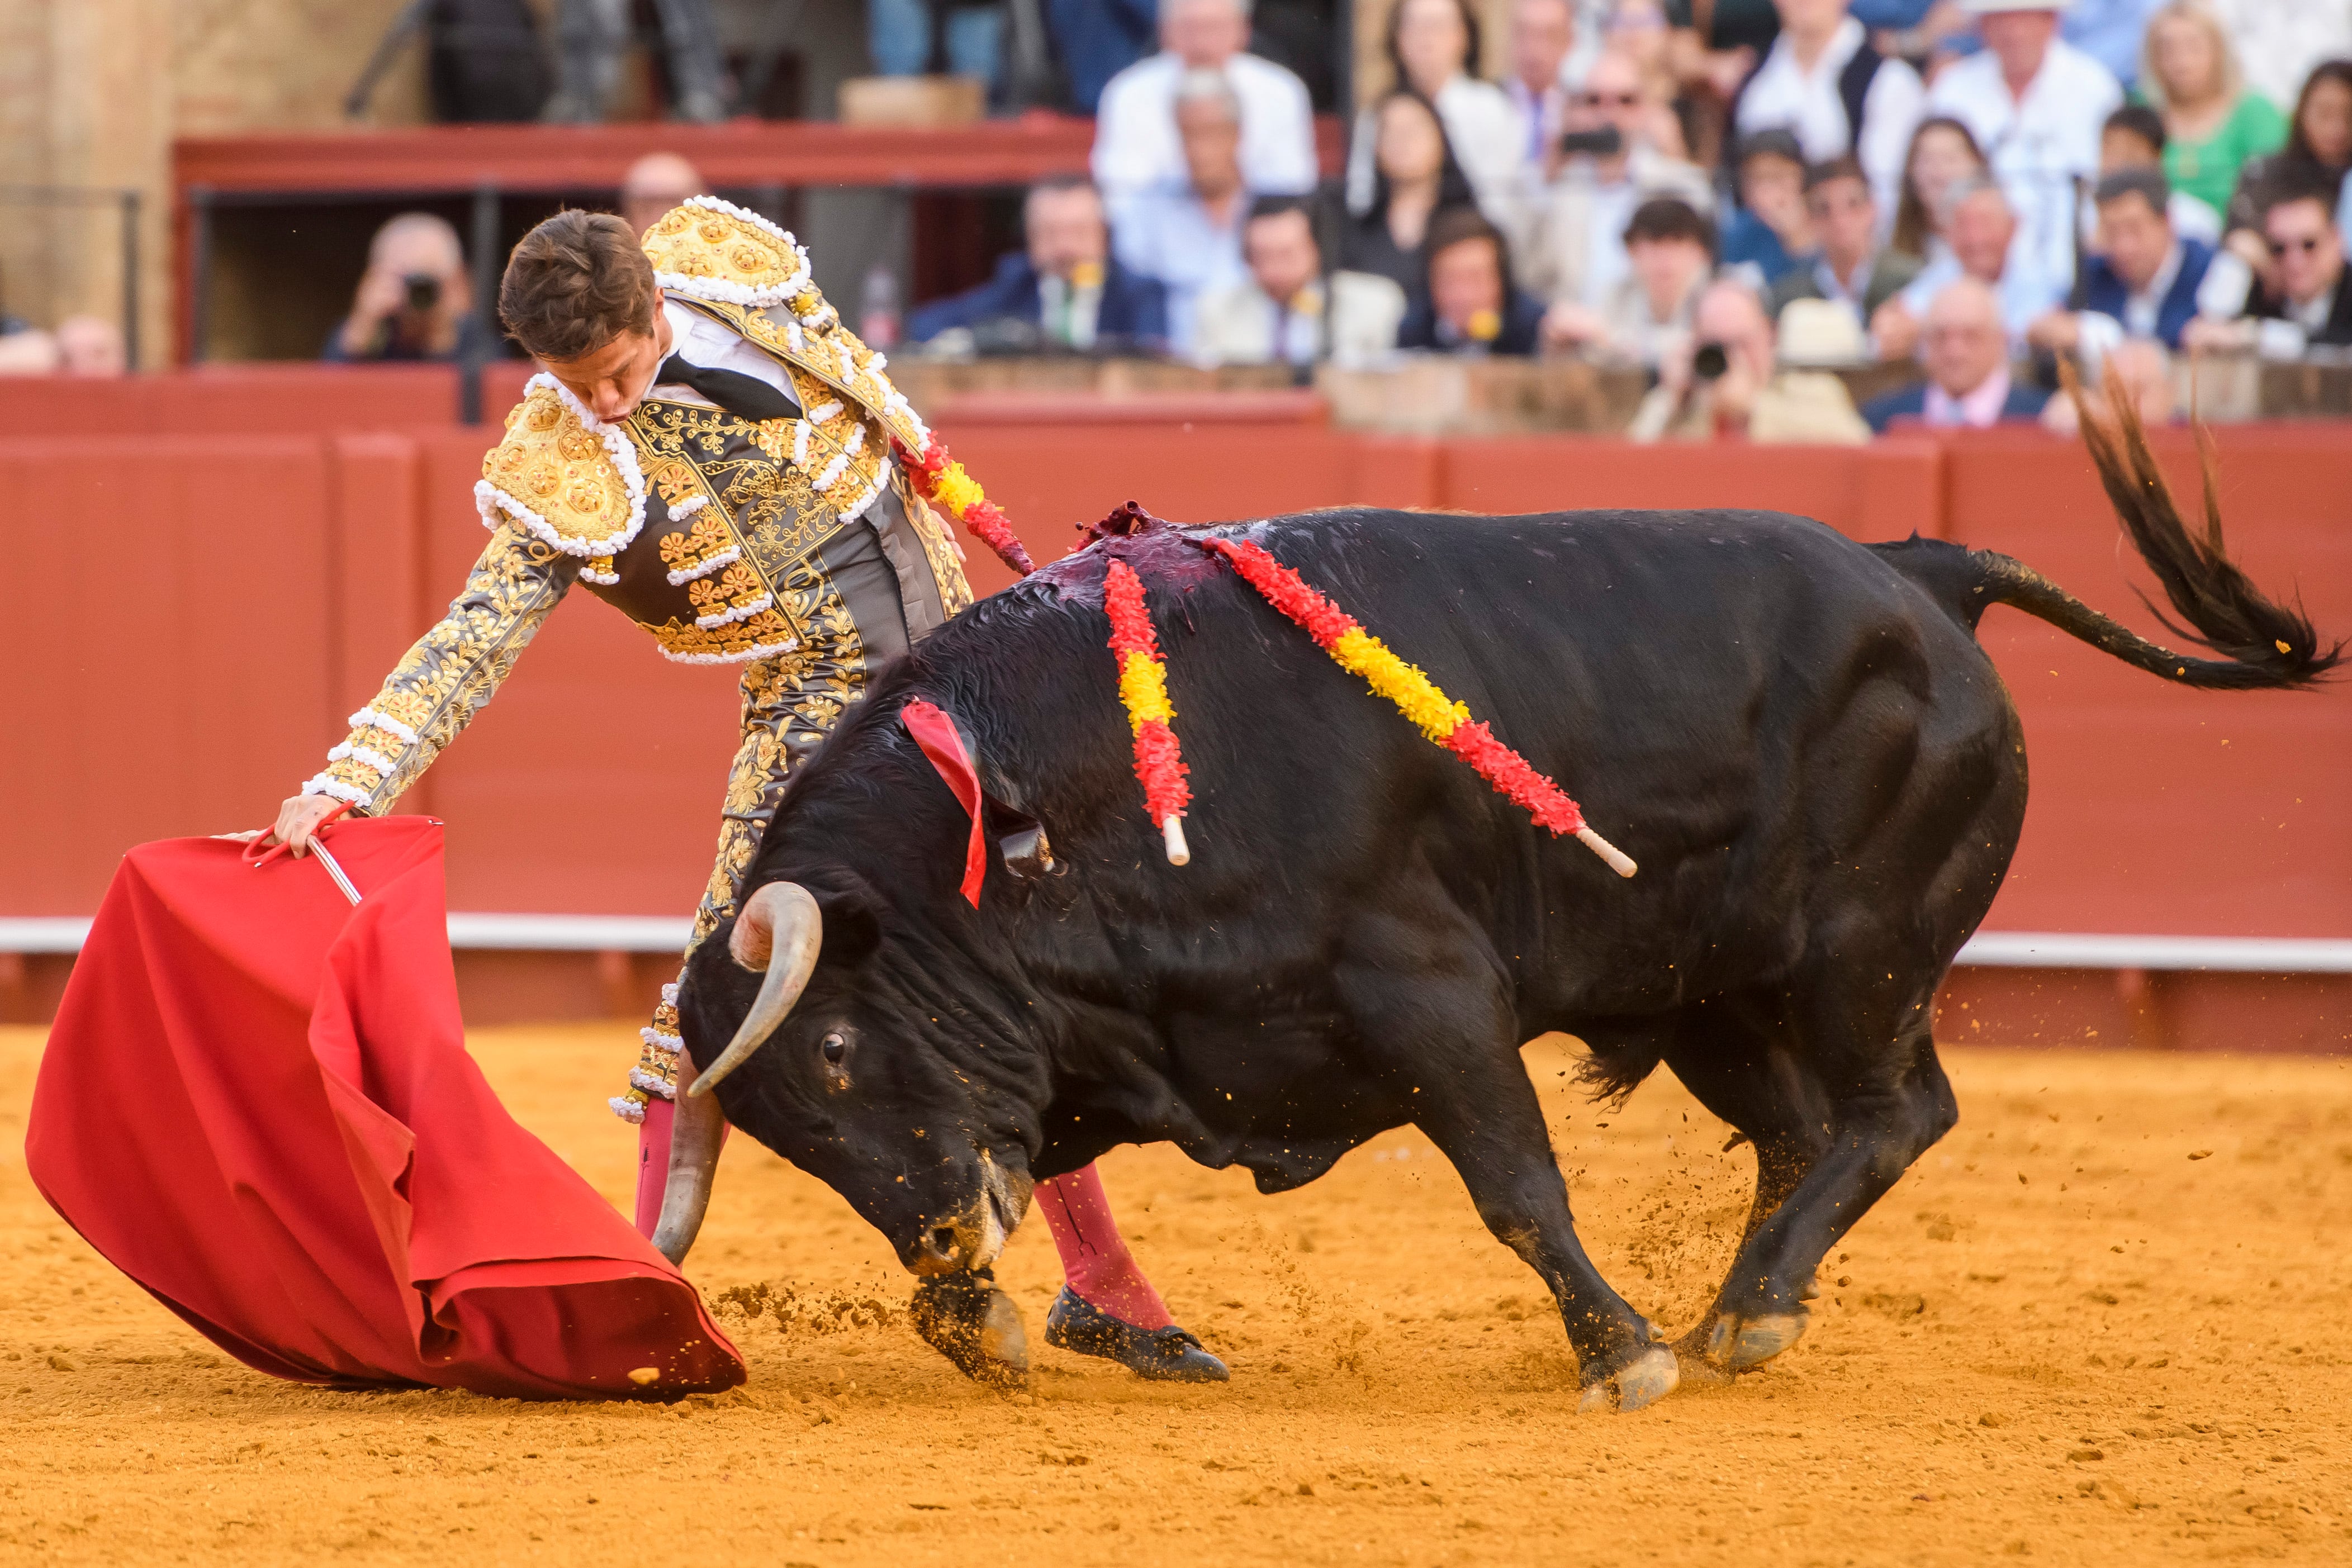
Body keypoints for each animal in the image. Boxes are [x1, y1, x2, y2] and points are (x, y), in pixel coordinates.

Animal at [668, 411, 2333, 1419]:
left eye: (833, 1054)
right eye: (790, 1136)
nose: (952, 1228)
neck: (1055, 797)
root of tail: (1920, 569)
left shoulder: (1427, 990)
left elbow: (1517, 1183)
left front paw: (1622, 1353)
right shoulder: (1123, 1049)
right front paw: (985, 1316)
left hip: (1861, 955)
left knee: (1898, 1108)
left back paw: (1740, 1314)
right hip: (1709, 984)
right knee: (1807, 1130)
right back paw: (1750, 1302)